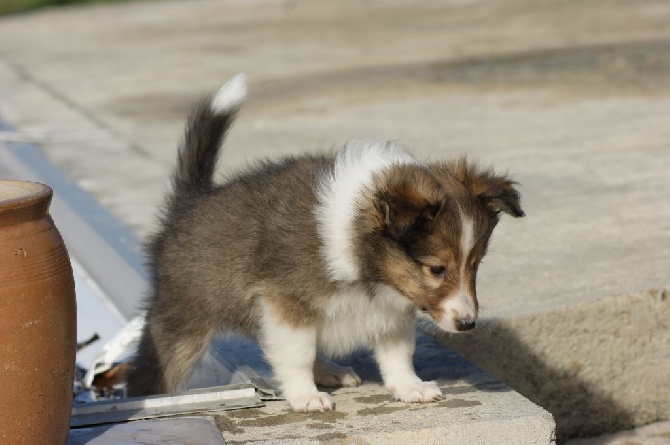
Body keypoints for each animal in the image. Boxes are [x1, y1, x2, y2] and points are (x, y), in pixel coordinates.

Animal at [126, 74, 524, 412]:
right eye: (436, 269)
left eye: (475, 265)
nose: (468, 324)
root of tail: (191, 200)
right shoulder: (287, 301)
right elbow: (296, 353)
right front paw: (305, 397)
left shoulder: (391, 306)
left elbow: (397, 351)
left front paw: (409, 387)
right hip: (181, 322)